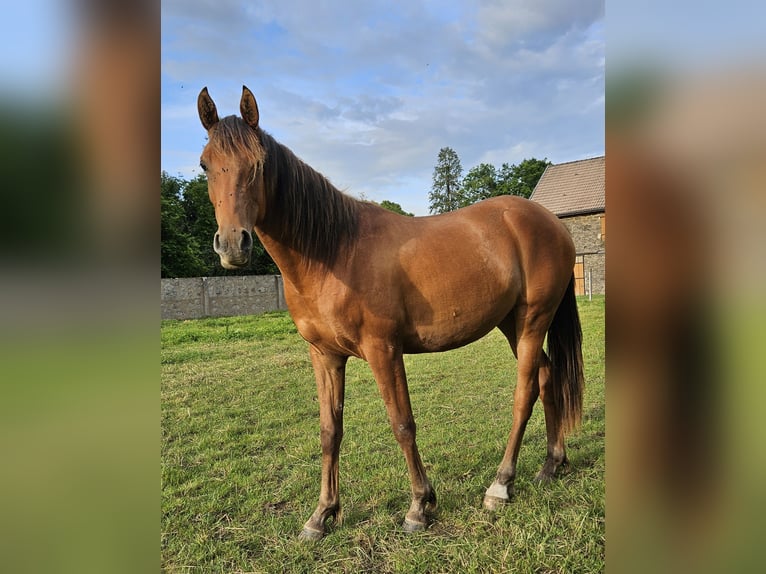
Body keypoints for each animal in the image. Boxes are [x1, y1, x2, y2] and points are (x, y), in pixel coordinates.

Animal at [195, 84, 584, 540]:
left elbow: (402, 424)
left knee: (525, 393)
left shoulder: (384, 350)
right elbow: (329, 431)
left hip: (532, 320)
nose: (232, 245)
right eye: (205, 165)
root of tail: (551, 223)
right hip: (513, 325)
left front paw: (419, 506)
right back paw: (551, 465)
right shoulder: (325, 355)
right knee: (546, 376)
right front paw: (321, 514)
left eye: (257, 164)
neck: (333, 252)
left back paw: (500, 485)